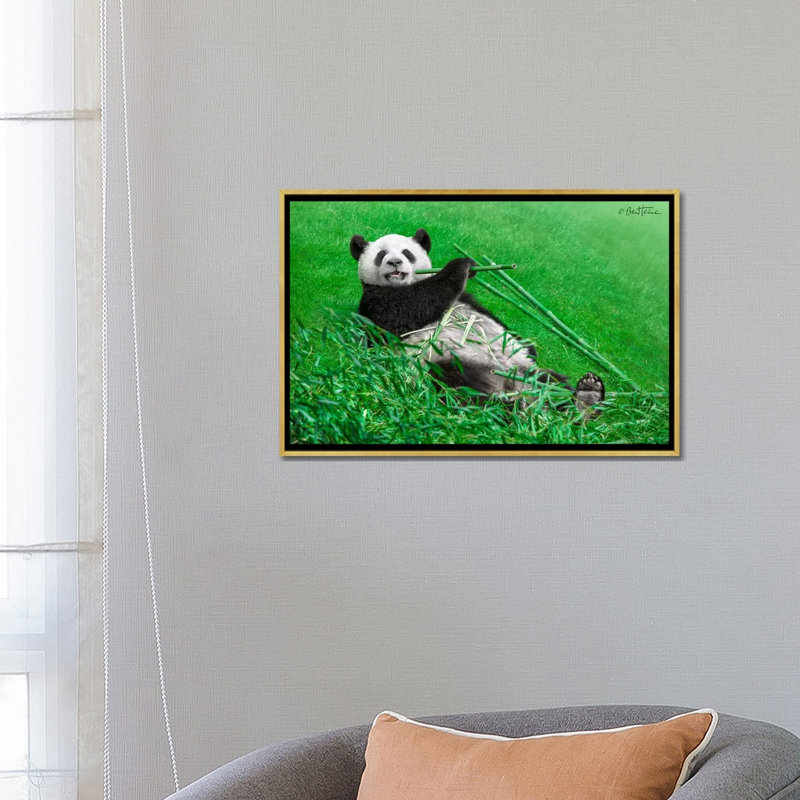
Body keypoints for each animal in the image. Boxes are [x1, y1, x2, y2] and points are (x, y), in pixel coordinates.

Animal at [349, 228, 605, 415]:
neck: (406, 283)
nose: (394, 263)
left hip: (523, 370)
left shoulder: (467, 300)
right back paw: (504, 408)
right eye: (381, 254)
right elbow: (407, 310)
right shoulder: (376, 301)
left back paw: (585, 399)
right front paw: (461, 266)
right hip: (443, 361)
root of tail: (513, 387)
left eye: (406, 252)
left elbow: (502, 326)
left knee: (552, 382)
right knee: (460, 387)